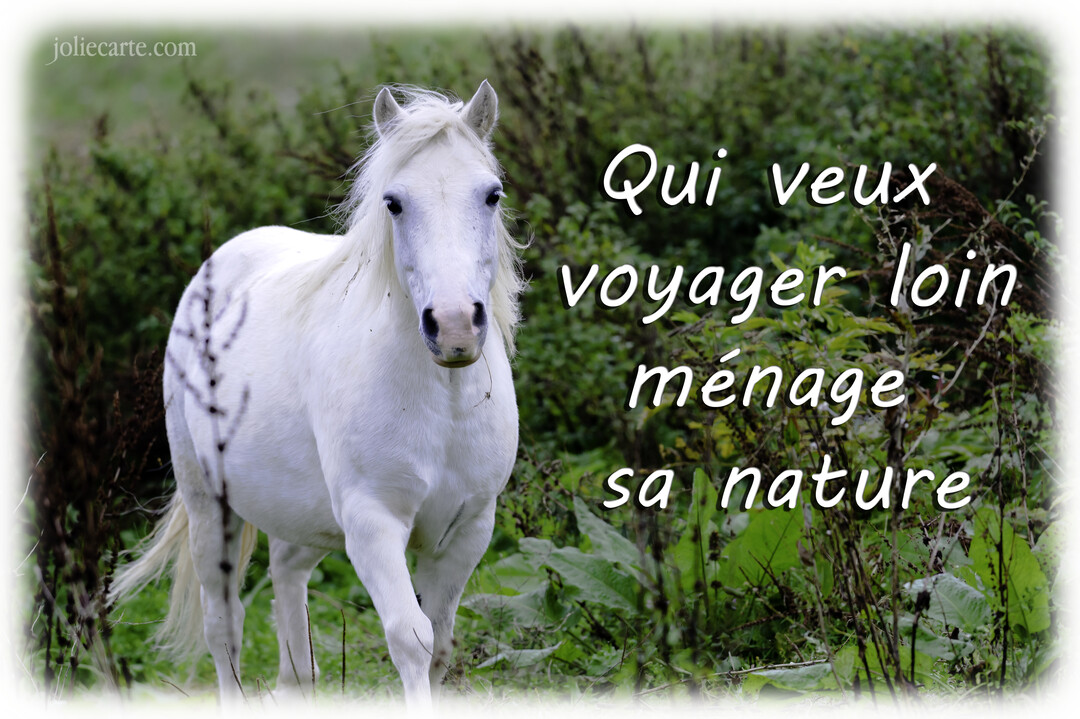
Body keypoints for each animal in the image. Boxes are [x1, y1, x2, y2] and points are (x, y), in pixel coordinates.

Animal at [110, 81, 524, 709]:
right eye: (394, 202)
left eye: (491, 195)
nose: (454, 326)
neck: (443, 398)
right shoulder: (373, 523)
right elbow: (413, 639)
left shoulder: (467, 529)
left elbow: (442, 645)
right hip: (210, 508)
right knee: (224, 627)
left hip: (303, 518)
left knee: (287, 585)